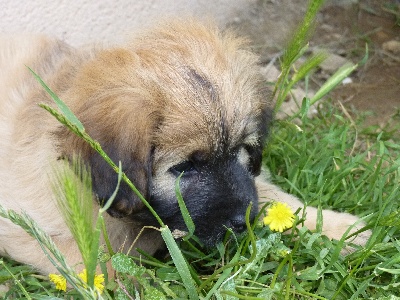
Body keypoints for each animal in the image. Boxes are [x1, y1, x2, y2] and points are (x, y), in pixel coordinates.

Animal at [0, 20, 368, 274]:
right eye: (185, 167)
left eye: (241, 150)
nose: (245, 220)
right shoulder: (24, 226)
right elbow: (98, 266)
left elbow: (275, 197)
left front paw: (344, 230)